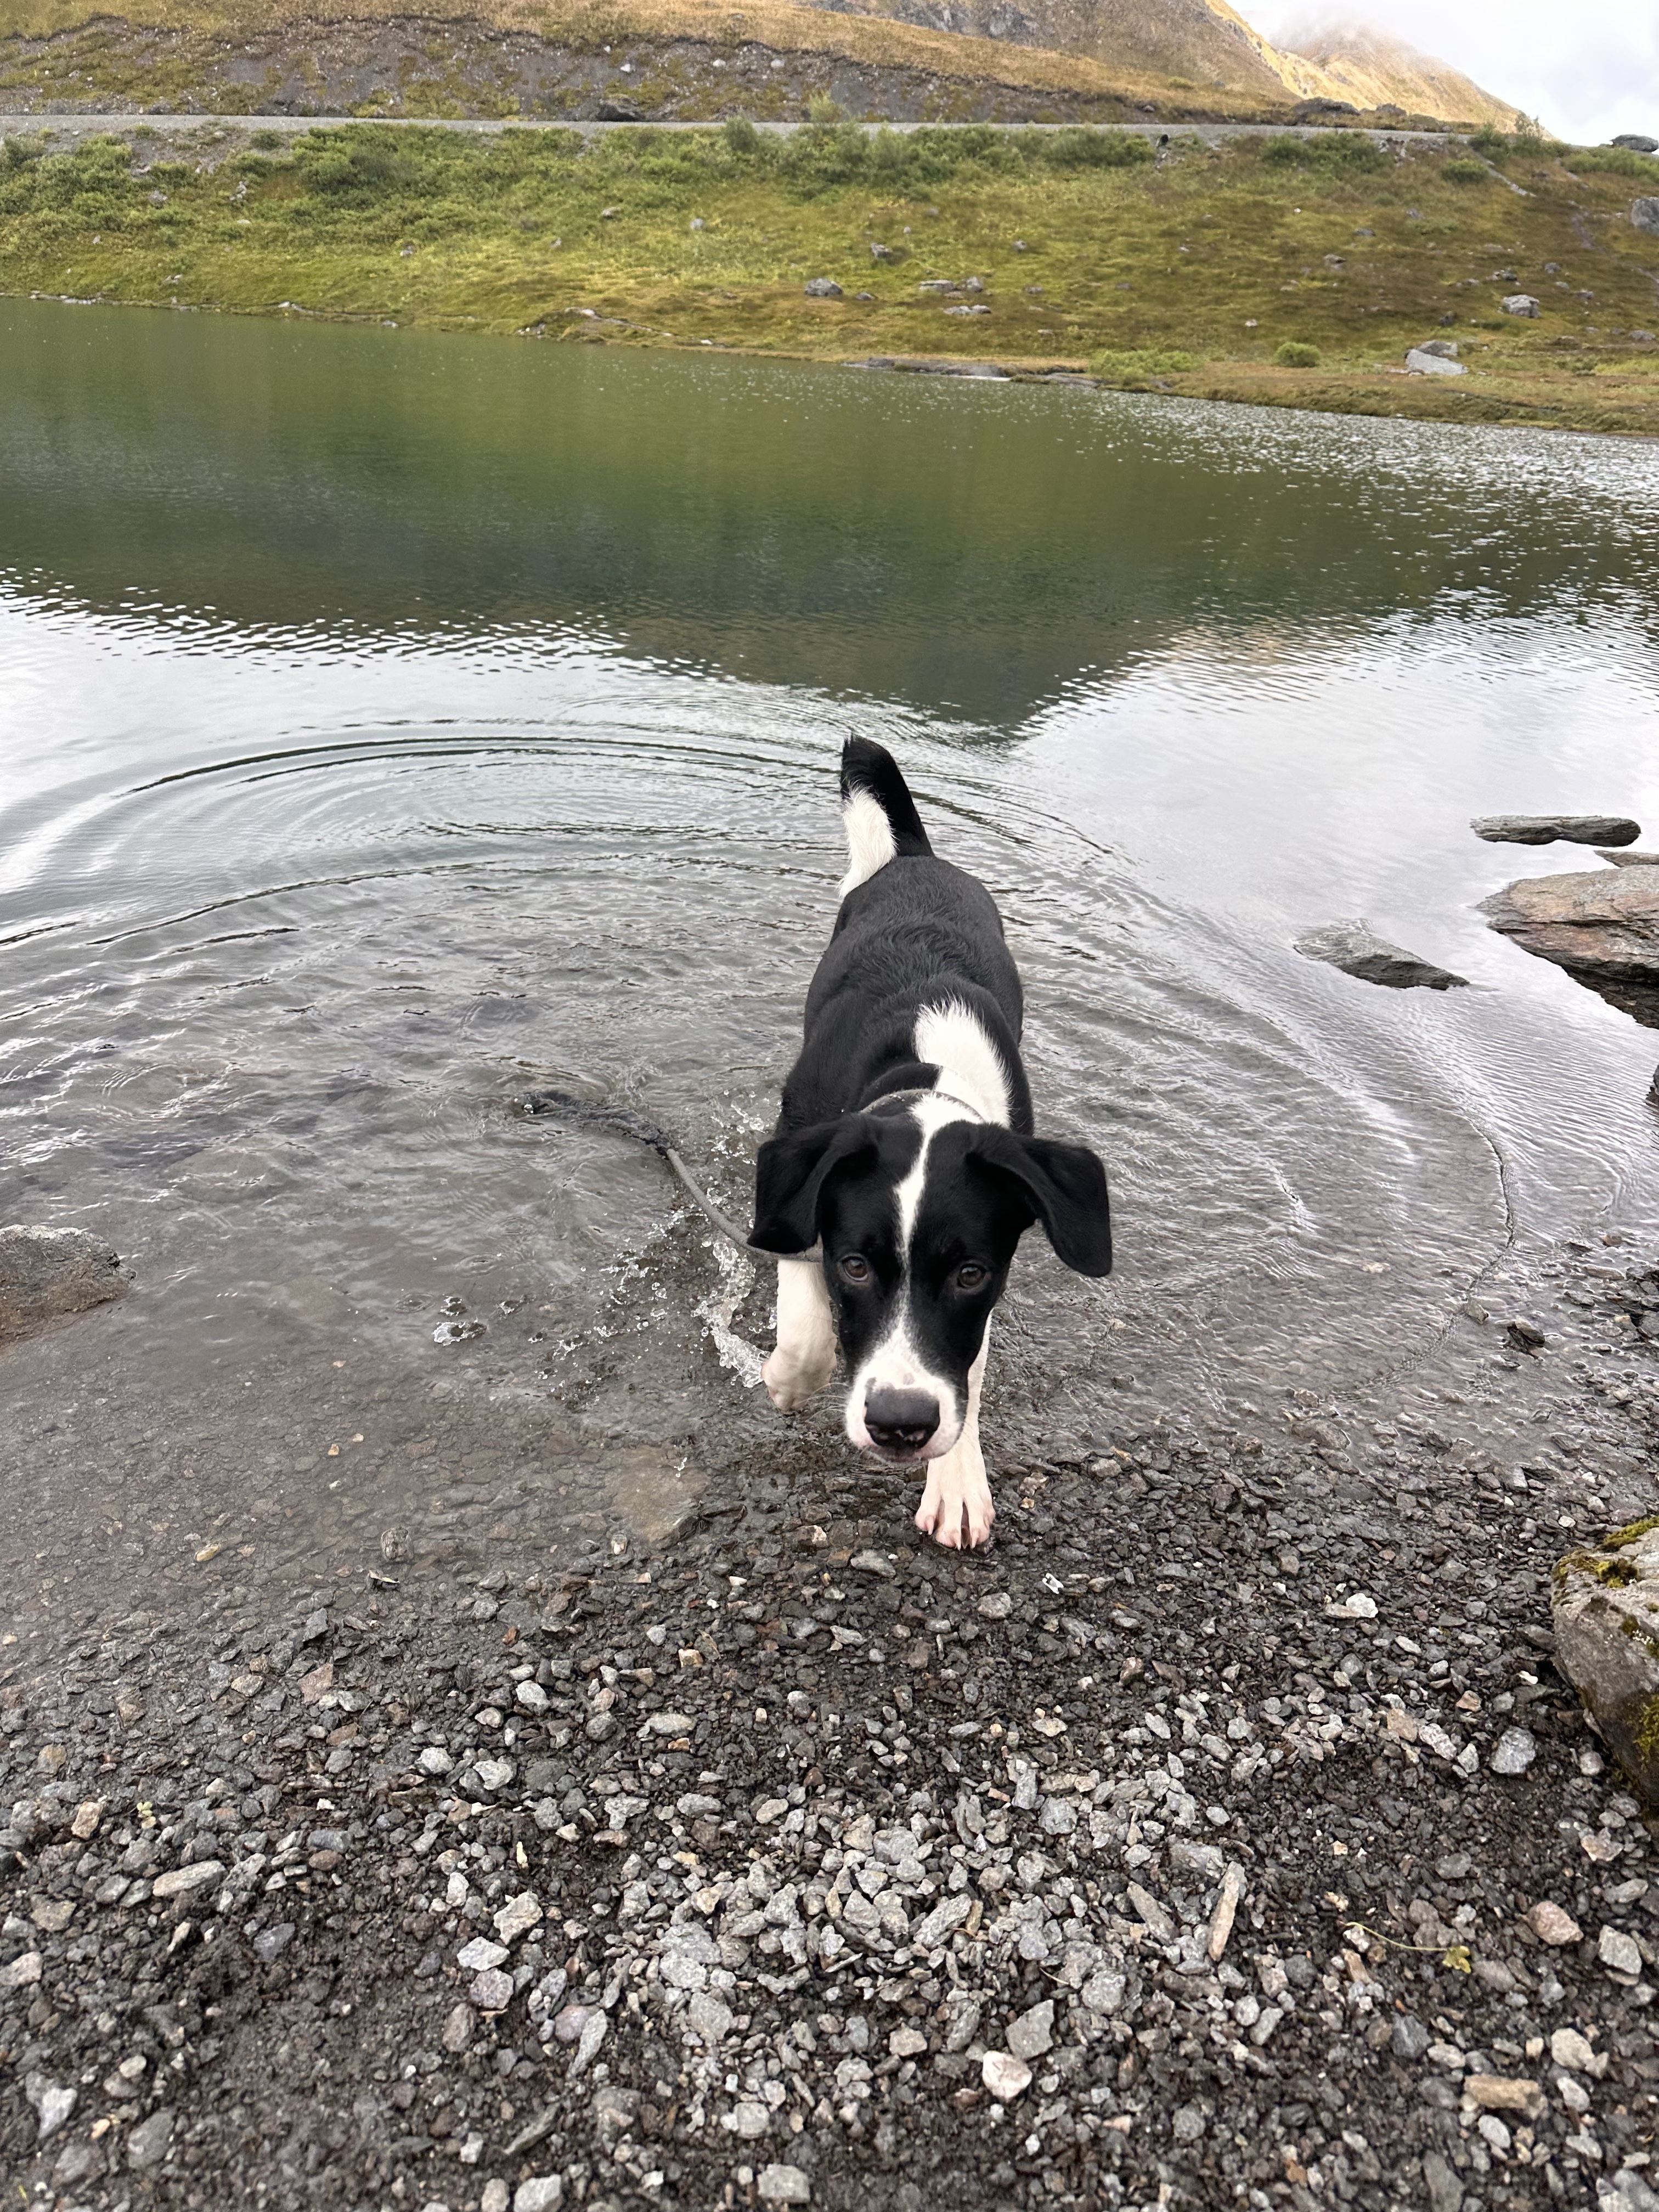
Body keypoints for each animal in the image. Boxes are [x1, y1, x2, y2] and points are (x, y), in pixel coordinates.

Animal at [752, 734, 1119, 1548]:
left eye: (971, 1274)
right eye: (856, 1266)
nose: (899, 1425)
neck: (925, 1074)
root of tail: (920, 858)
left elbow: (969, 1368)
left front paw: (956, 1478)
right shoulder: (798, 1161)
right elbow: (804, 1311)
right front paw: (791, 1379)